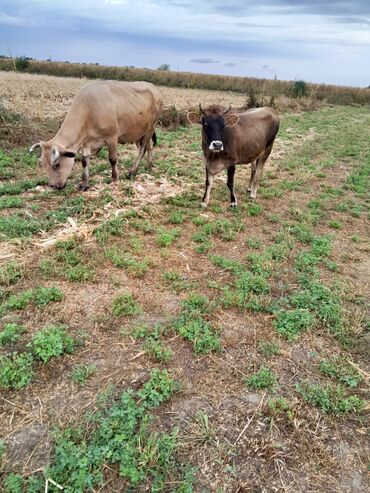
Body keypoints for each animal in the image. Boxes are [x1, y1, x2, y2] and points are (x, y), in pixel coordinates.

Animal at [28, 80, 162, 189]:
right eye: (43, 164)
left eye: (57, 165)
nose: (53, 186)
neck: (89, 110)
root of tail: (154, 87)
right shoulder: (87, 142)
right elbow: (84, 161)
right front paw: (84, 184)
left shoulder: (112, 138)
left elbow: (112, 159)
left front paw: (114, 178)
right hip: (141, 132)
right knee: (149, 147)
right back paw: (148, 165)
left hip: (151, 128)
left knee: (142, 149)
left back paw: (133, 171)